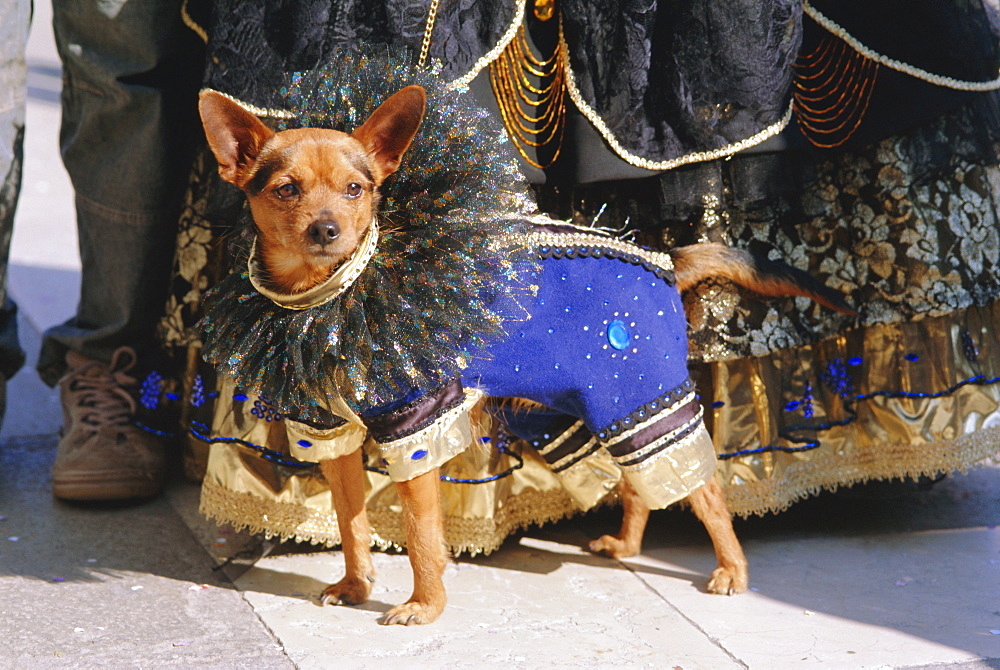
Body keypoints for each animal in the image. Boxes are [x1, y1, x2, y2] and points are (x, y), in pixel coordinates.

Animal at [199, 86, 848, 628]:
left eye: (356, 190)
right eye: (286, 189)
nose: (327, 230)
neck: (328, 299)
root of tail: (666, 260)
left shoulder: (416, 431)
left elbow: (421, 535)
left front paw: (424, 606)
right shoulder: (330, 437)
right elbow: (351, 522)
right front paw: (357, 588)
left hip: (640, 401)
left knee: (704, 490)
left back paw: (732, 568)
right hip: (580, 413)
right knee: (638, 486)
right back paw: (628, 547)